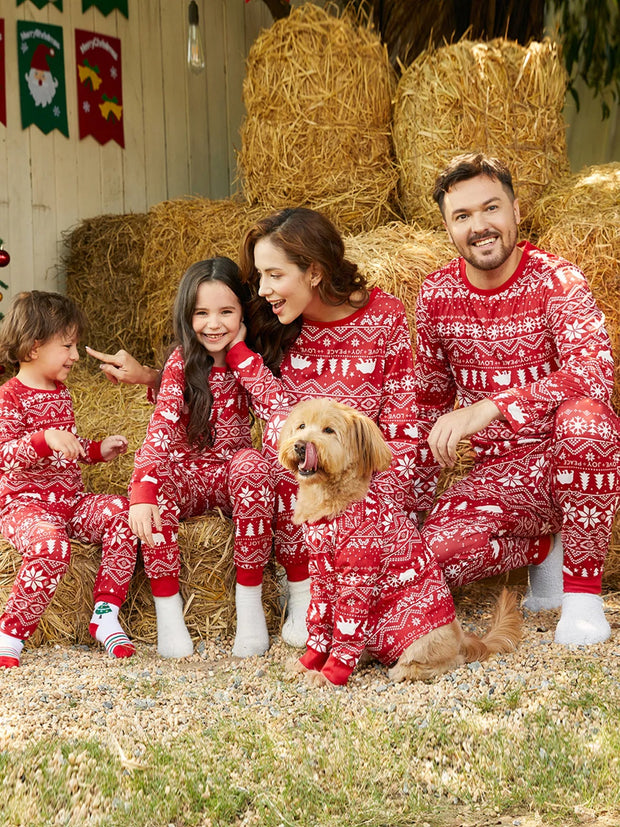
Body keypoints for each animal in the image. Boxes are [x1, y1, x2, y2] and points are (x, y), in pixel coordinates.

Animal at [278, 398, 520, 688]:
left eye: (328, 430)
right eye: (301, 426)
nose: (301, 445)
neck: (333, 508)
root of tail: (462, 638)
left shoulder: (357, 579)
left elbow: (346, 636)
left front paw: (328, 674)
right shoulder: (320, 576)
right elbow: (319, 622)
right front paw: (308, 662)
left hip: (420, 638)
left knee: (448, 661)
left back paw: (404, 670)